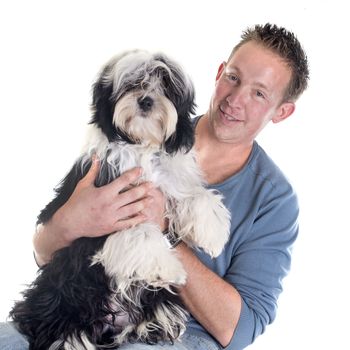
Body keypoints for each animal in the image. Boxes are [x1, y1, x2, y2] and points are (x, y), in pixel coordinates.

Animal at [9, 50, 231, 350]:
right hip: (68, 288)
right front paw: (163, 268)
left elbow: (193, 194)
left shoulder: (169, 179)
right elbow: (141, 231)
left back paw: (155, 322)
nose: (146, 100)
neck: (141, 145)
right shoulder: (113, 200)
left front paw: (212, 231)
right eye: (131, 83)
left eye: (166, 86)